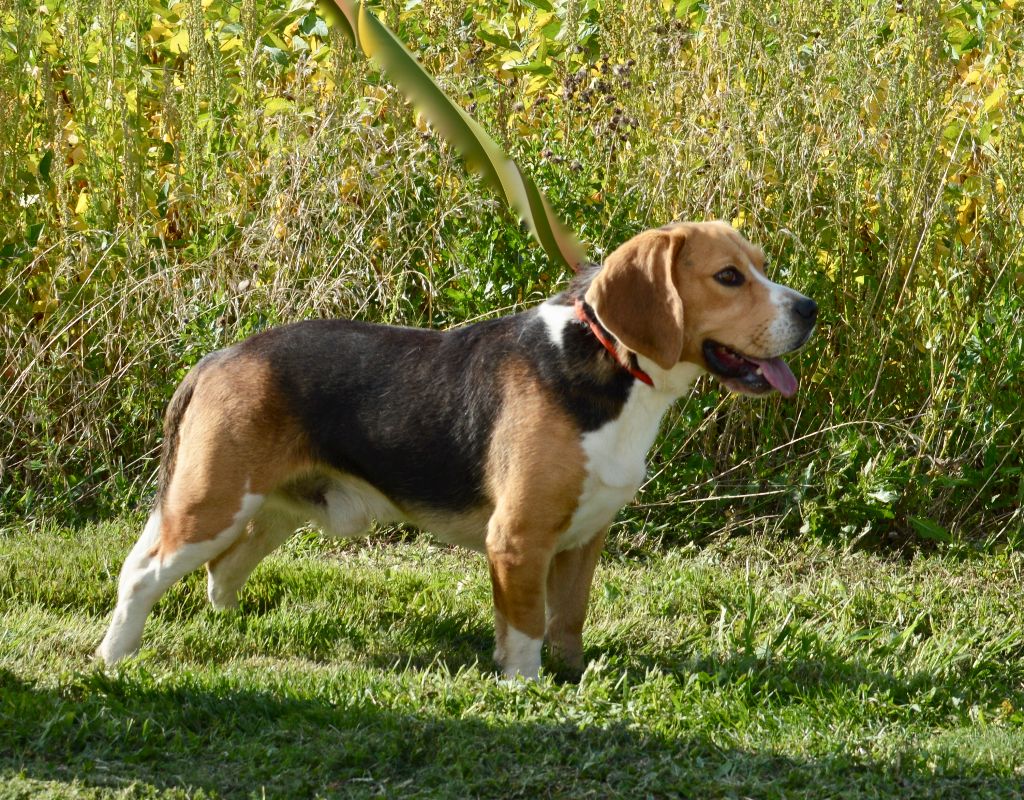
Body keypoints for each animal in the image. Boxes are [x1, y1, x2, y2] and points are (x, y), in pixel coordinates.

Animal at [96, 221, 815, 676]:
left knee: (222, 571)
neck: (610, 363)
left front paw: (572, 677)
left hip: (267, 513)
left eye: (761, 266)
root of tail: (217, 358)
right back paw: (114, 656)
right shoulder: (517, 541)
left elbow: (567, 621)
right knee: (141, 573)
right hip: (210, 504)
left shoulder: (583, 539)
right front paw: (525, 688)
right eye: (729, 277)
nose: (809, 308)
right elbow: (525, 630)